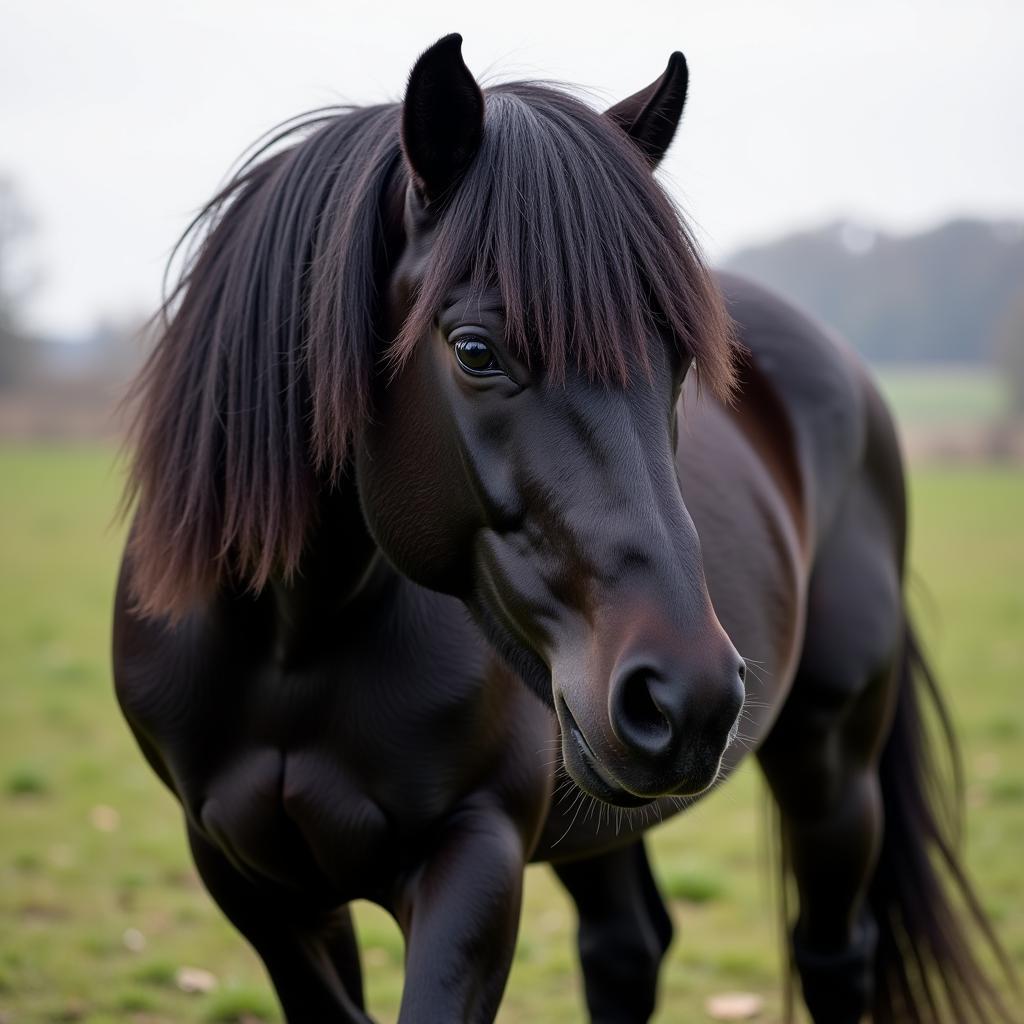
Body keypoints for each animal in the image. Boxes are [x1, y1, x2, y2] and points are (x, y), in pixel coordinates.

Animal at [114, 34, 1015, 1024]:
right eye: (474, 350)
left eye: (680, 361)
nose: (692, 696)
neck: (293, 645)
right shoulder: (253, 883)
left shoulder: (475, 859)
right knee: (627, 945)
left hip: (830, 765)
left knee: (832, 954)